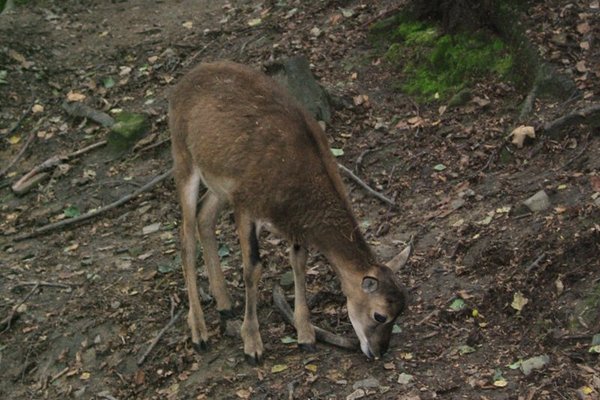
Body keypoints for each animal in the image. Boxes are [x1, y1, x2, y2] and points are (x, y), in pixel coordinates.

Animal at [168, 61, 408, 364]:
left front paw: (305, 336)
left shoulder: (292, 223)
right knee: (186, 238)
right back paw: (199, 333)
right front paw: (253, 346)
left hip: (220, 185)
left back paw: (224, 304)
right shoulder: (246, 204)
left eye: (401, 311)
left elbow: (299, 262)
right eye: (379, 315)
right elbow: (252, 269)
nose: (378, 351)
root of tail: (182, 81)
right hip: (182, 157)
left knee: (204, 217)